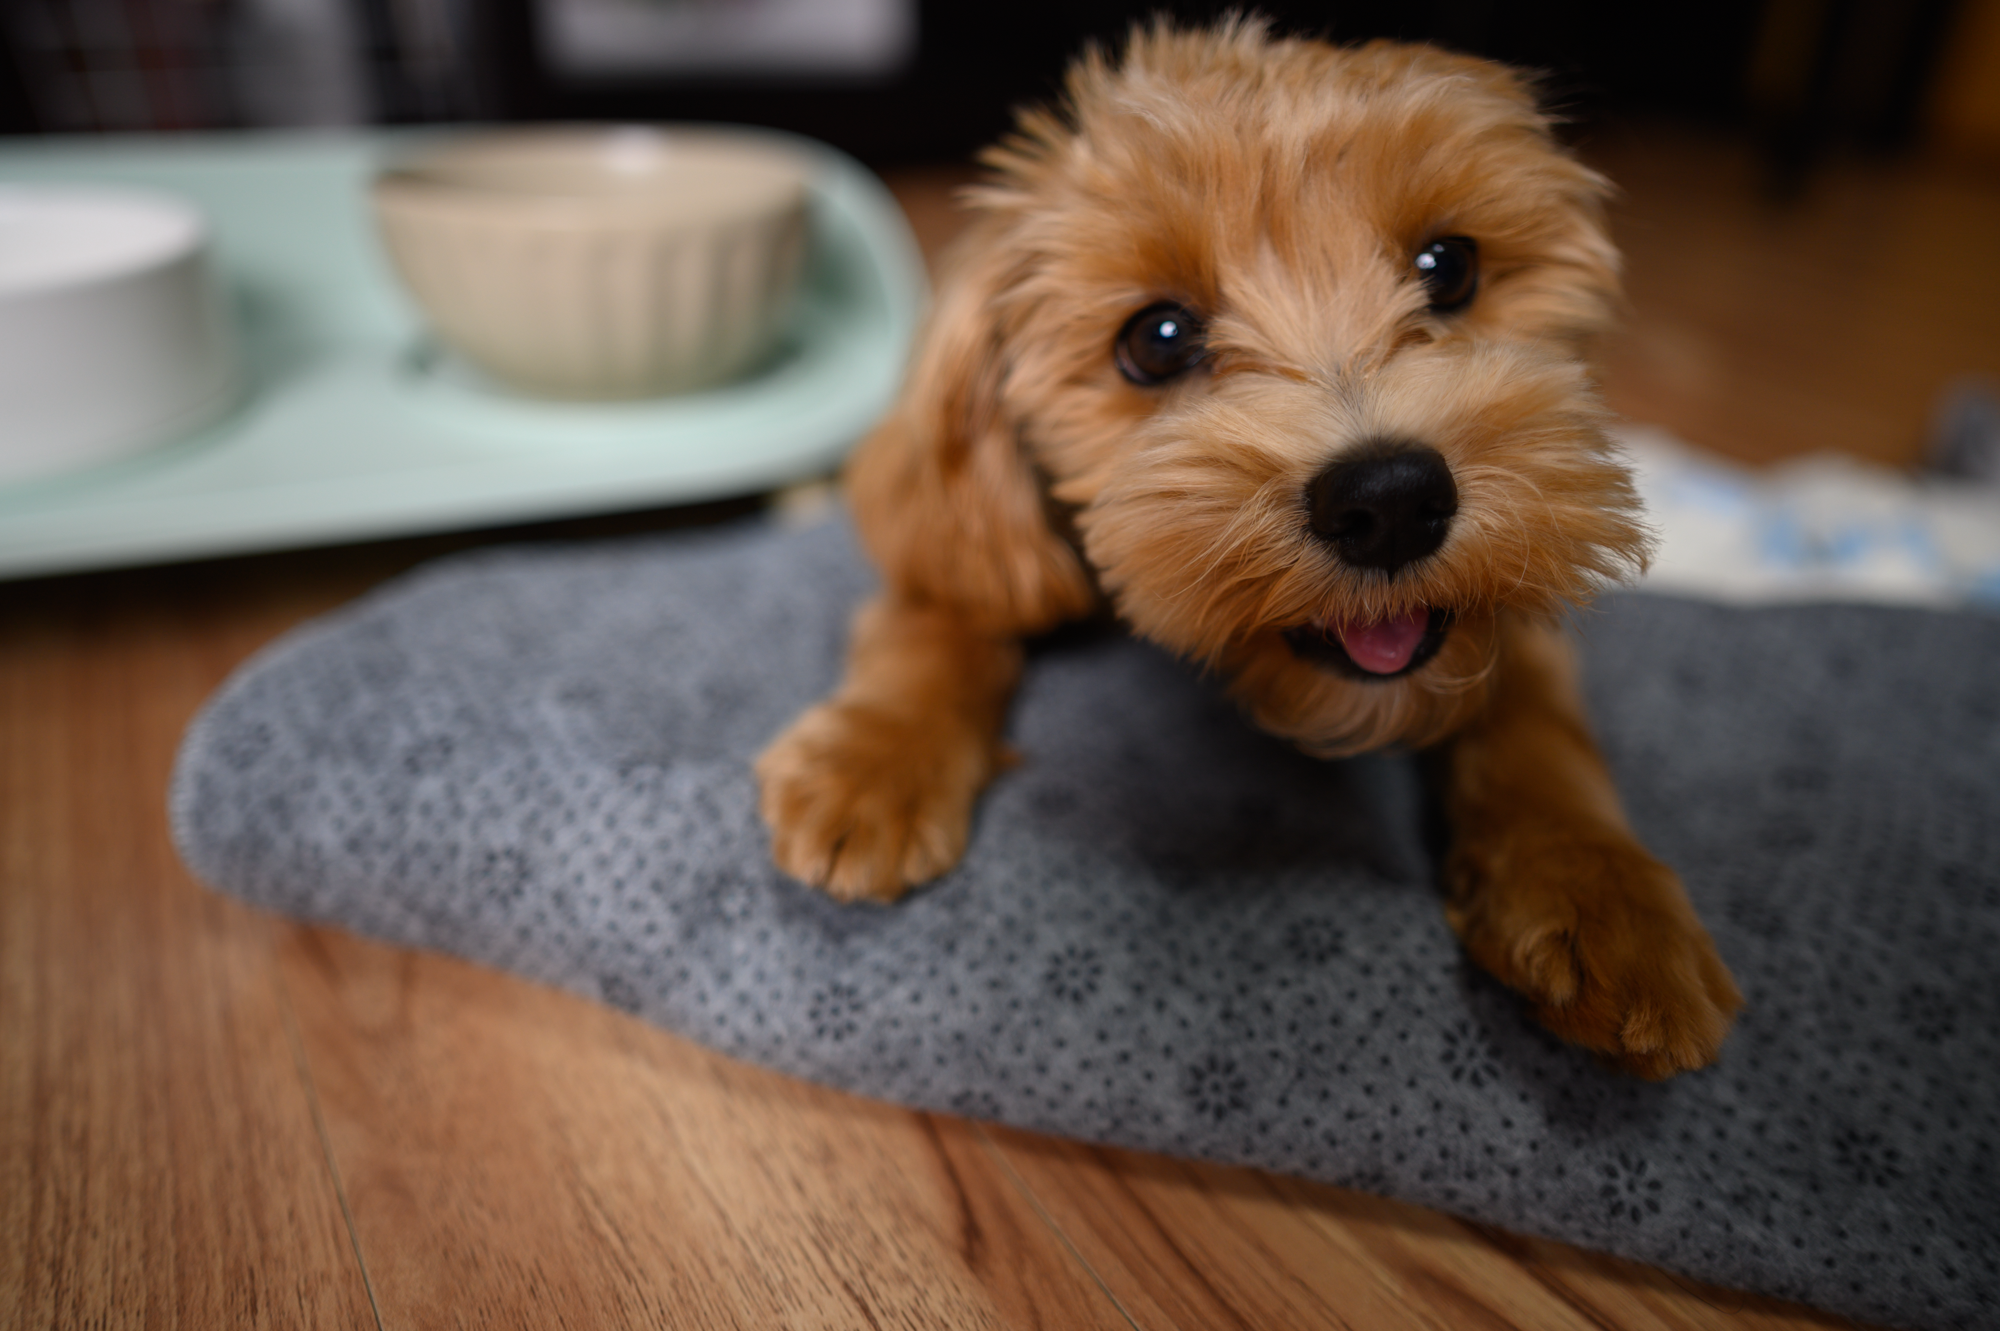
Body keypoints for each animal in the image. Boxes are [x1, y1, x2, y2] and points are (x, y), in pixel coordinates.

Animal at [756, 17, 1742, 1078]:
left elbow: (1538, 731)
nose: (1391, 499)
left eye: (1448, 266)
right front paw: (875, 760)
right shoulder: (965, 538)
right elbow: (939, 617)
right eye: (1156, 338)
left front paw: (1601, 891)